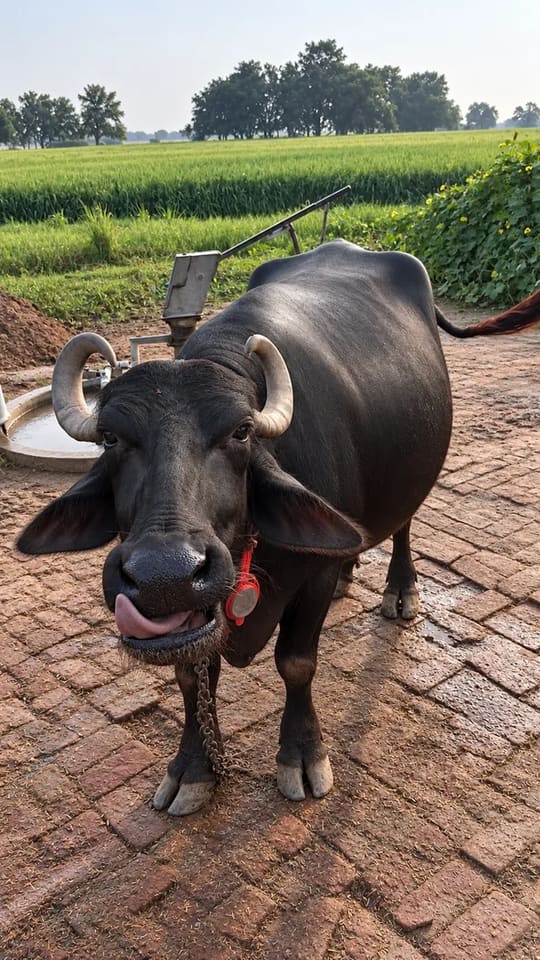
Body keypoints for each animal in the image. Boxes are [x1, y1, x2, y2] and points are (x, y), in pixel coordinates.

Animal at [18, 241, 540, 815]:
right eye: (110, 438)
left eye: (242, 432)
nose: (165, 576)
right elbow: (191, 672)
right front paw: (193, 768)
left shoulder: (308, 582)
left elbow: (296, 663)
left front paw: (302, 756)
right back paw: (350, 571)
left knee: (403, 524)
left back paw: (399, 591)